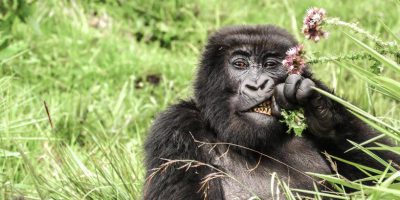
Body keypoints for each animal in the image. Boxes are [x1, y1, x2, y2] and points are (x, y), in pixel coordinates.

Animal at [143, 25, 396, 200]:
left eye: (271, 64)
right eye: (240, 65)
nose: (257, 85)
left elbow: (387, 172)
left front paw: (321, 109)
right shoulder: (177, 127)